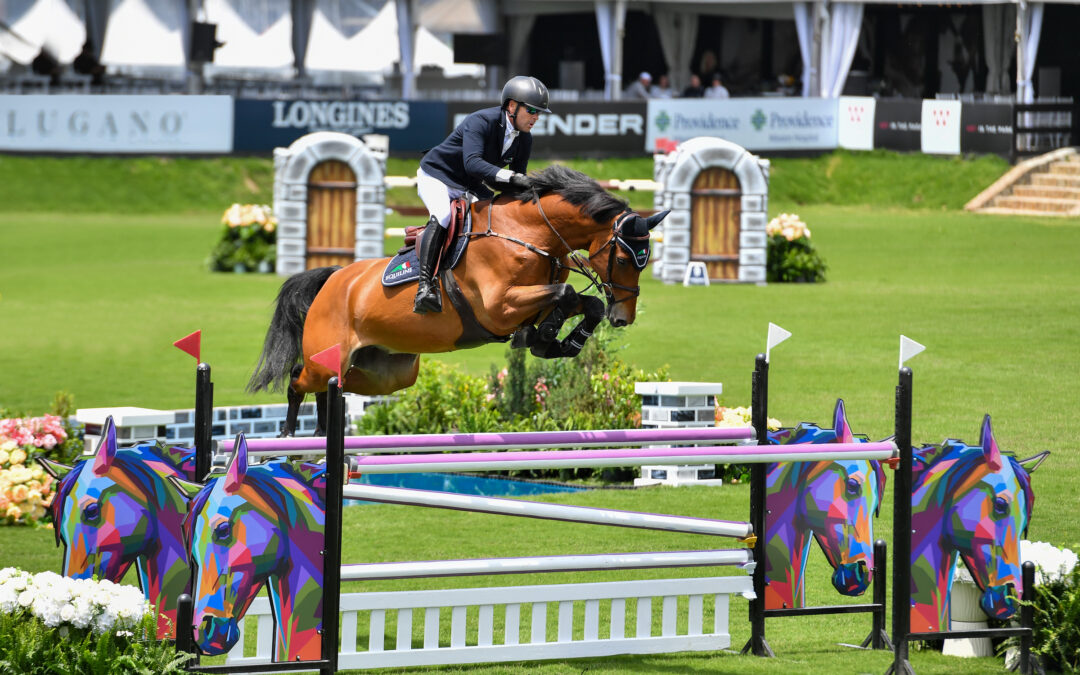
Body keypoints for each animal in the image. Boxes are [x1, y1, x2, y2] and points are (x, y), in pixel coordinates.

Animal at [246, 166, 665, 434]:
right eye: (624, 259)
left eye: (645, 262)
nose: (623, 317)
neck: (528, 235)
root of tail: (333, 279)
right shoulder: (499, 307)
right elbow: (566, 294)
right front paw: (545, 336)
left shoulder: (533, 299)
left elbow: (582, 302)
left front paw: (558, 341)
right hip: (331, 356)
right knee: (298, 379)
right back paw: (287, 438)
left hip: (385, 373)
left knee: (332, 385)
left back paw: (317, 434)